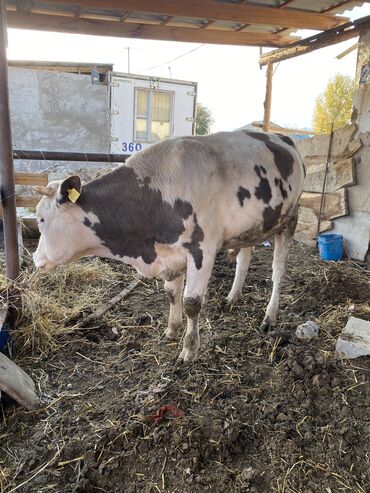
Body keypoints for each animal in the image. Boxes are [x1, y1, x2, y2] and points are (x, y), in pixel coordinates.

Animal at [32, 130, 304, 362]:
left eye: (41, 219)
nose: (35, 258)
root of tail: (280, 136)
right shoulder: (171, 254)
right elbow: (172, 294)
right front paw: (172, 330)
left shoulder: (201, 251)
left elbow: (191, 302)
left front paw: (189, 349)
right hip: (253, 227)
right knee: (244, 260)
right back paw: (232, 298)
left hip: (290, 219)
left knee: (278, 271)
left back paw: (270, 316)